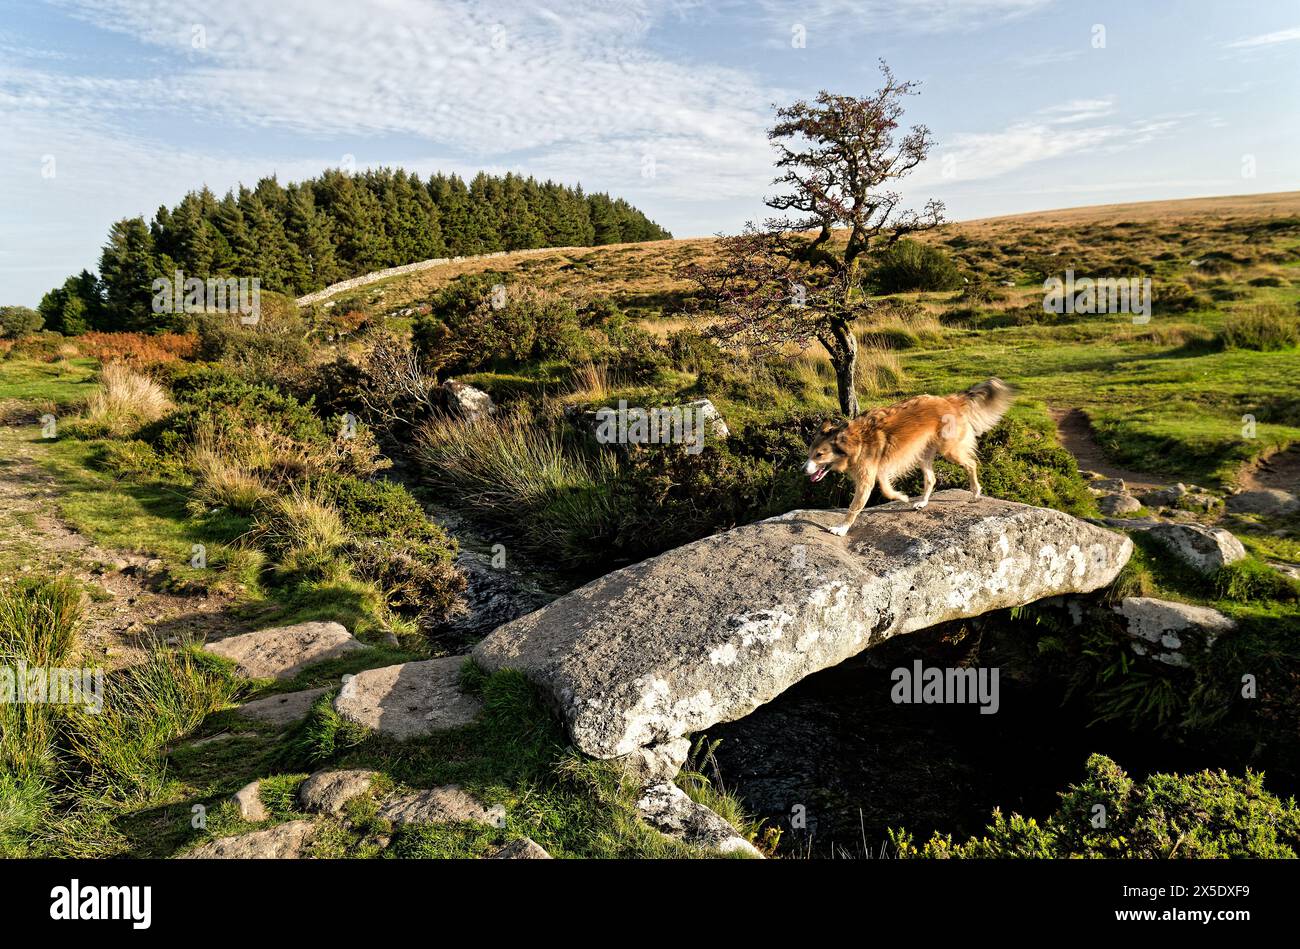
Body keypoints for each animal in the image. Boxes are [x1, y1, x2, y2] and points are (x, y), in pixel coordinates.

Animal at [800, 379, 1013, 540]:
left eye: (819, 455)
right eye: (810, 453)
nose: (803, 470)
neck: (856, 441)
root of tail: (948, 399)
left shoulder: (866, 480)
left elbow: (854, 508)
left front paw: (842, 528)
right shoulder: (880, 470)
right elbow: (886, 490)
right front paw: (902, 497)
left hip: (949, 450)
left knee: (971, 464)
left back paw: (975, 492)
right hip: (922, 453)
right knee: (931, 479)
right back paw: (922, 502)